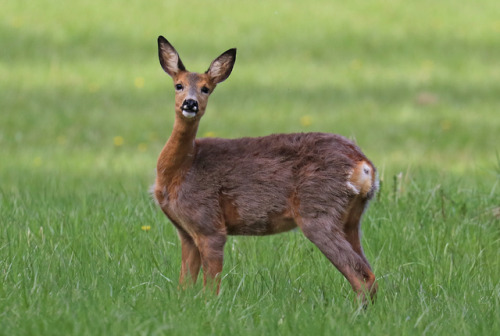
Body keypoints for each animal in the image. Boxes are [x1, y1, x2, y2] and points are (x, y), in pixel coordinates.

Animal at [152, 35, 378, 304]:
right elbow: (184, 285)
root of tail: (363, 165)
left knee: (363, 276)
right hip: (351, 218)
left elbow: (211, 287)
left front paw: (210, 307)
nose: (190, 103)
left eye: (206, 88)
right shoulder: (186, 232)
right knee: (369, 272)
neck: (183, 169)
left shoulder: (209, 223)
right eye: (179, 85)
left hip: (317, 209)